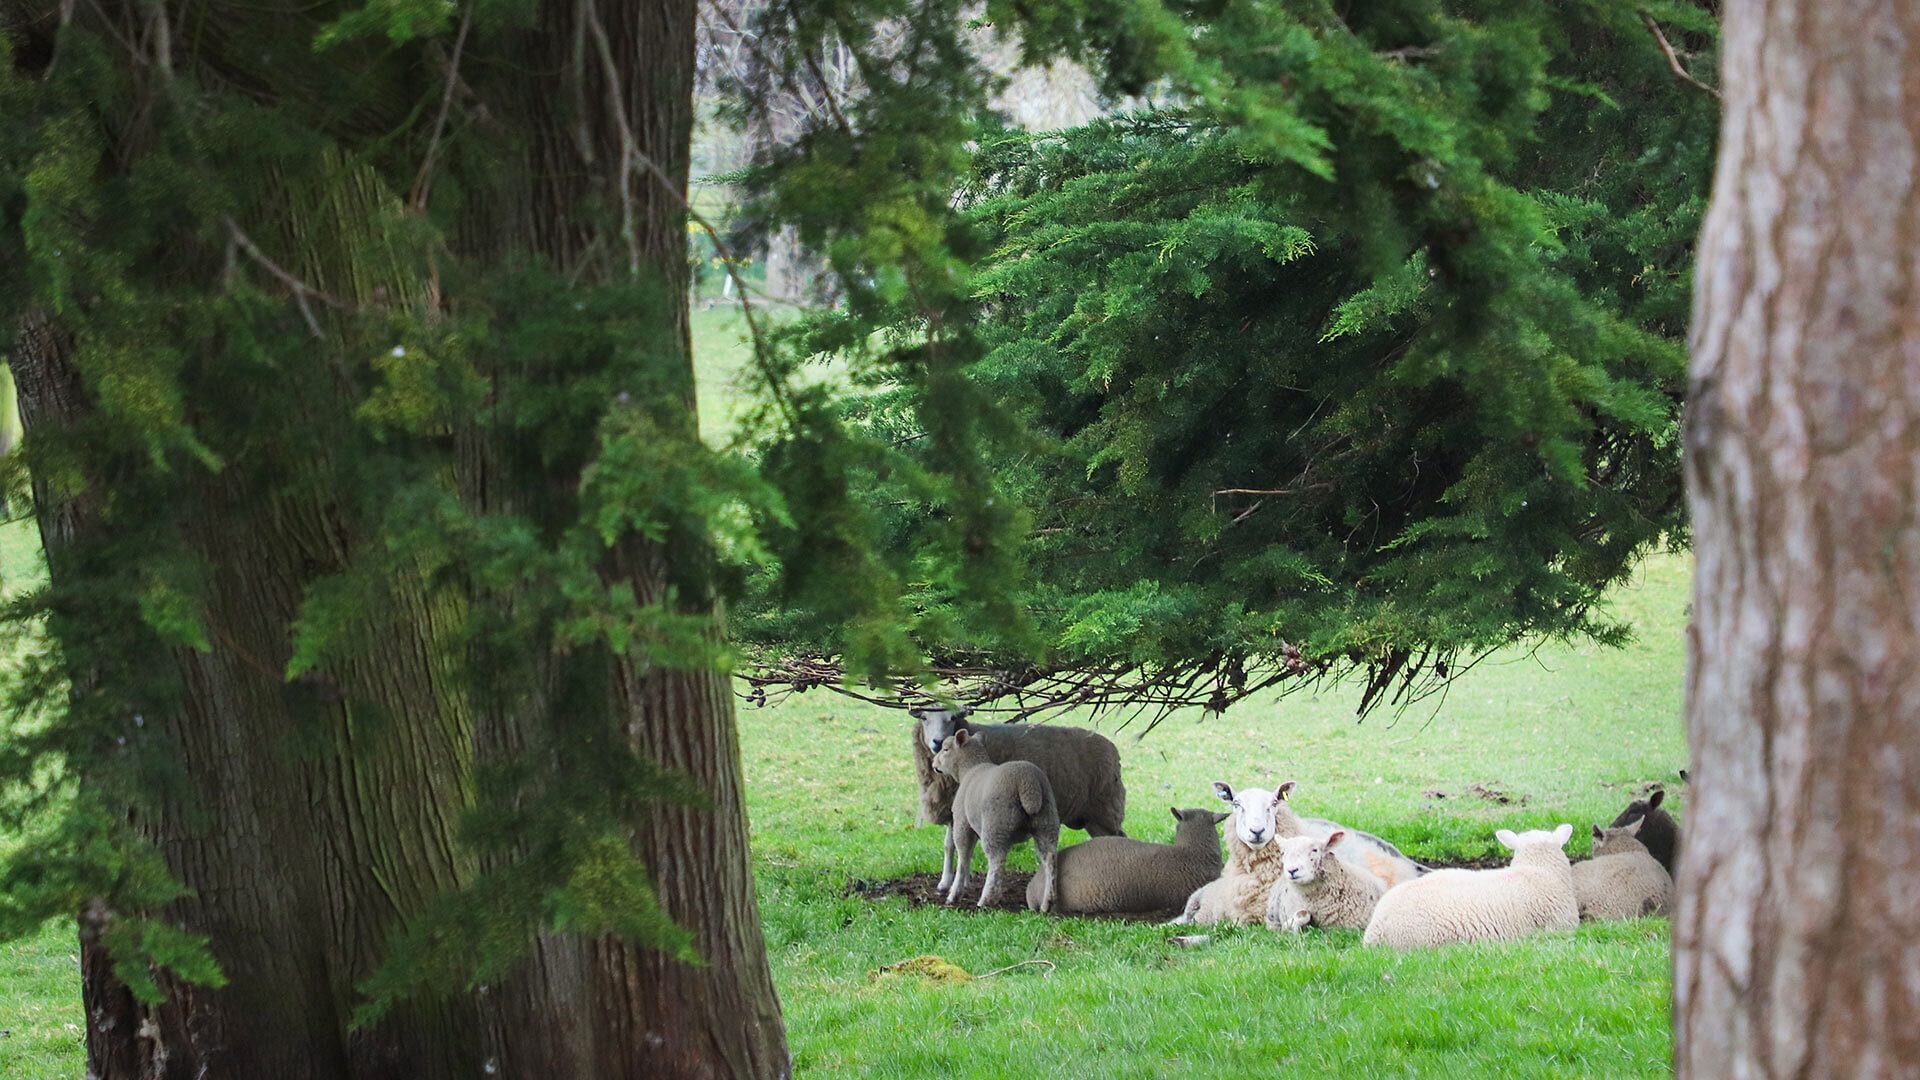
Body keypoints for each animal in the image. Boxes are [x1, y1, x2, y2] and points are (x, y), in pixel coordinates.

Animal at [910, 703, 1121, 887]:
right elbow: (949, 845)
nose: (937, 742)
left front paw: (952, 883)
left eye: (953, 718)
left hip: (1106, 808)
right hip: (1093, 817)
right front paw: (948, 882)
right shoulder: (955, 809)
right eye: (924, 717)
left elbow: (955, 844)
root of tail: (1112, 747)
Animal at [929, 722, 1067, 907]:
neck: (970, 768)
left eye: (945, 749)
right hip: (1047, 821)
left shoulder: (962, 823)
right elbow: (968, 855)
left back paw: (986, 899)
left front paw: (954, 894)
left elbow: (963, 856)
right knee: (1050, 858)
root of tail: (1027, 784)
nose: (934, 763)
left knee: (997, 861)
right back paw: (1048, 901)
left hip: (996, 825)